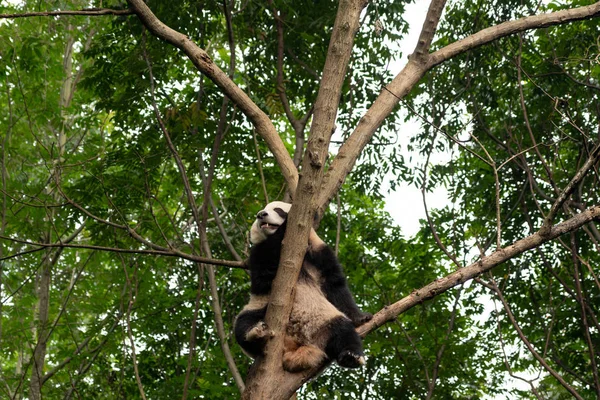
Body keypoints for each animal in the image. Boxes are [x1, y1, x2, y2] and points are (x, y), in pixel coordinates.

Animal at [233, 202, 370, 374]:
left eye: (277, 210)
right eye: (261, 211)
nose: (261, 214)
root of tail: (295, 346)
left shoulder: (319, 253)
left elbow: (335, 286)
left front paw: (362, 317)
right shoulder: (258, 254)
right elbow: (263, 278)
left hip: (324, 320)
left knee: (344, 331)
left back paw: (351, 356)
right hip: (259, 308)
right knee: (242, 324)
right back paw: (256, 333)